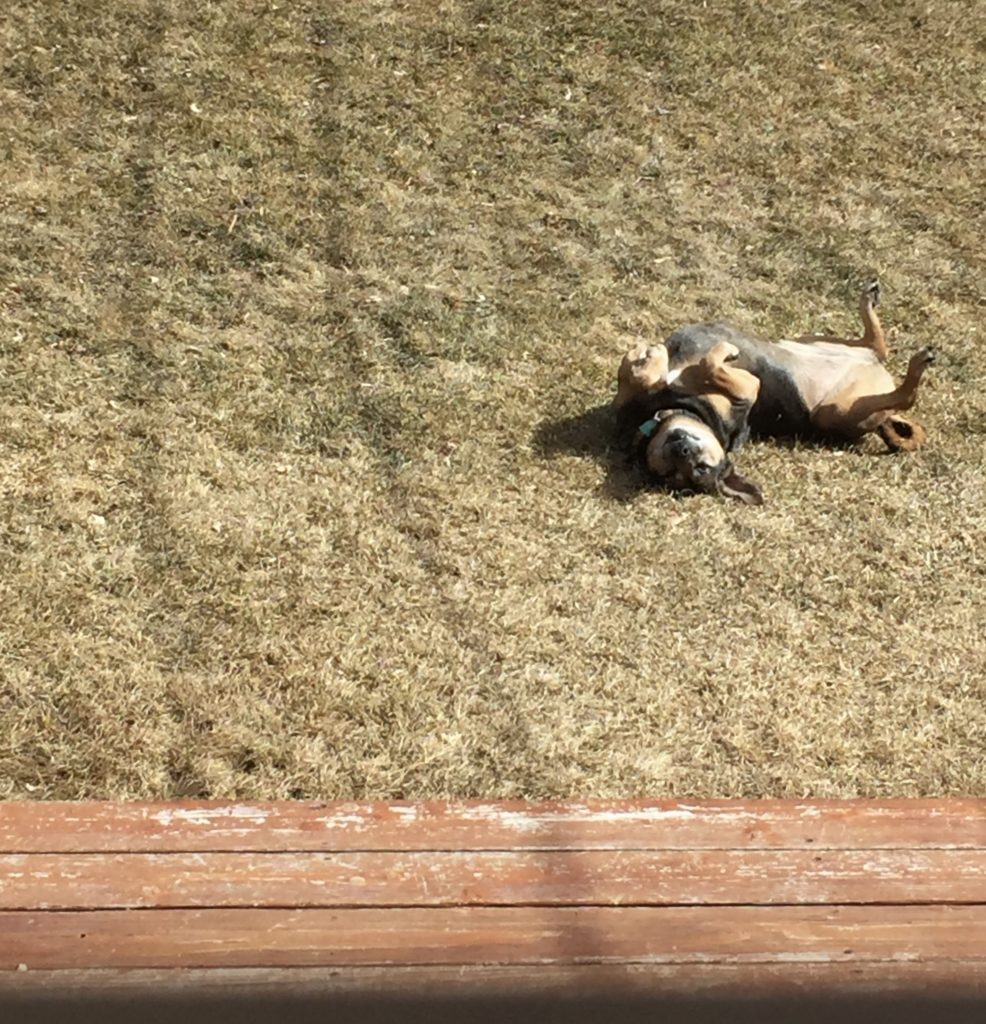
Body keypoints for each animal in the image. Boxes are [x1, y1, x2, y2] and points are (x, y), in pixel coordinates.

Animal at [614, 280, 937, 503]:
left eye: (702, 467)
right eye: (672, 472)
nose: (682, 450)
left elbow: (647, 371)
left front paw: (649, 358)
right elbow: (678, 369)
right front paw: (655, 360)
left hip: (814, 347)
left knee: (878, 350)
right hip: (833, 407)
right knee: (899, 384)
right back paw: (914, 359)